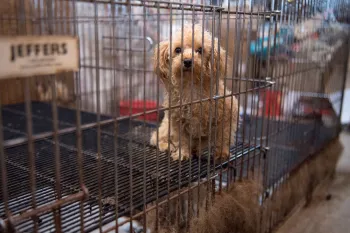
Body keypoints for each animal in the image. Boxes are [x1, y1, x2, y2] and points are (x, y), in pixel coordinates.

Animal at [149, 24, 239, 161]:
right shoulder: (177, 120)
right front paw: (182, 153)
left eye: (200, 50)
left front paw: (221, 153)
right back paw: (168, 146)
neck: (192, 87)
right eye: (178, 50)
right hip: (166, 126)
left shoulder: (227, 114)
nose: (187, 61)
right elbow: (182, 140)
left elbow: (223, 137)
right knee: (156, 138)